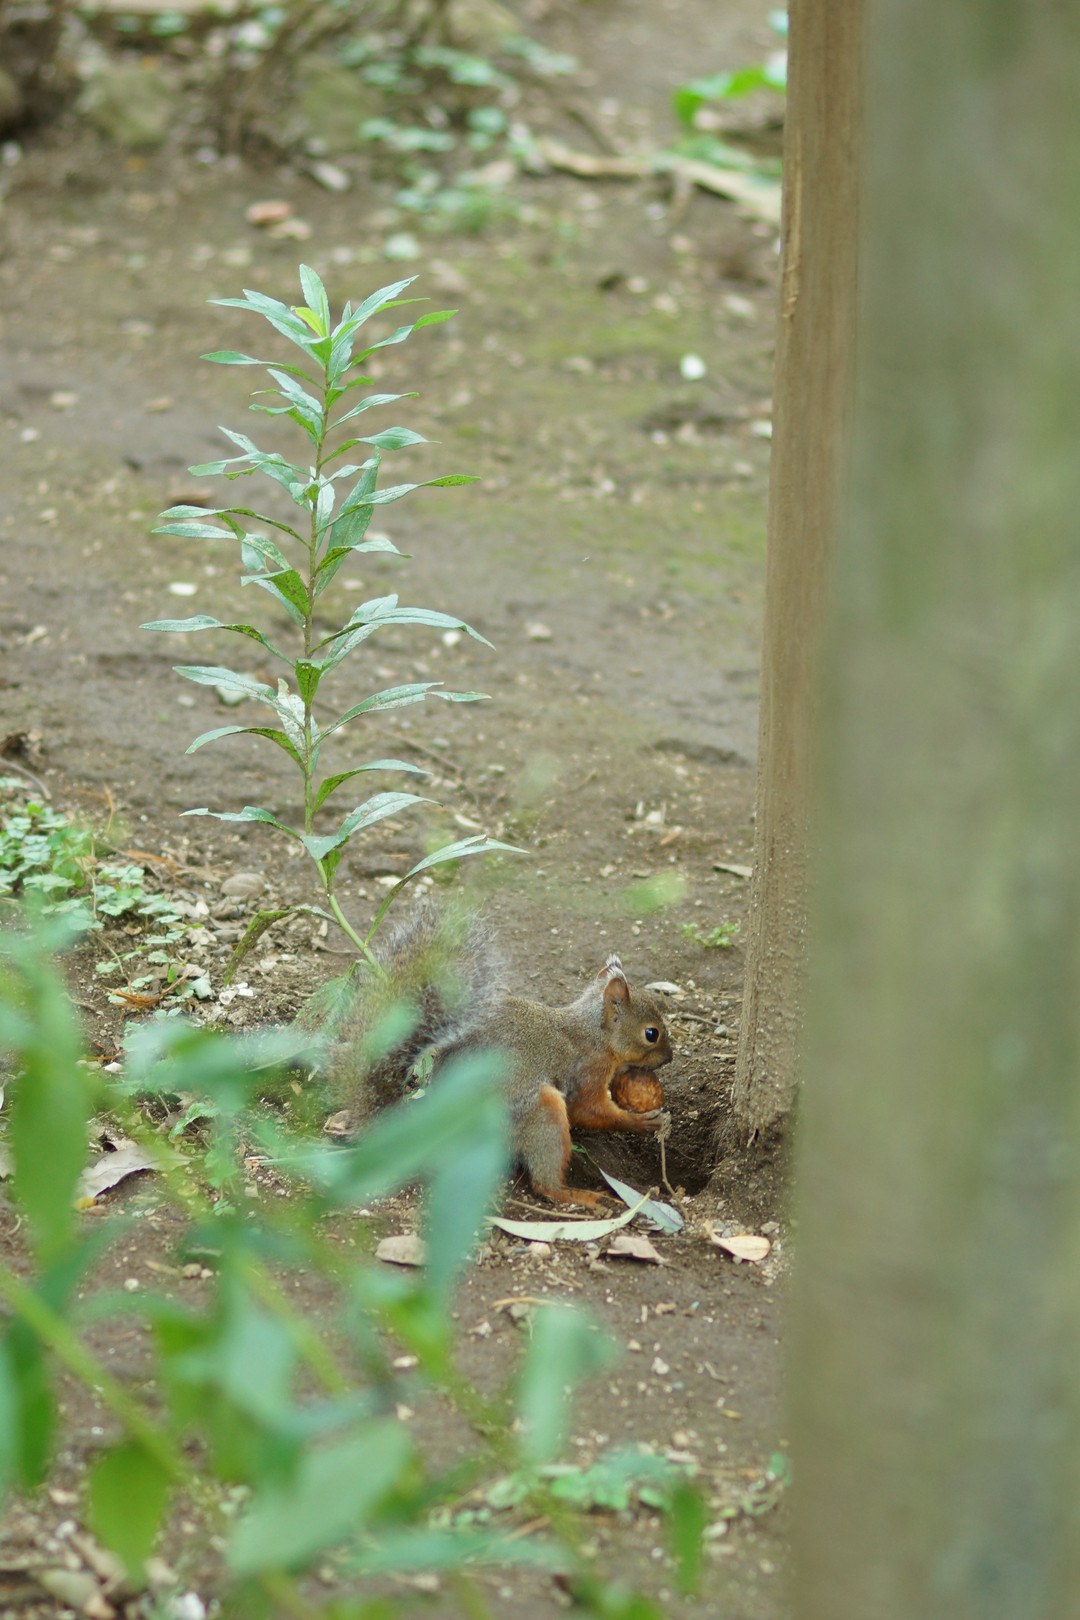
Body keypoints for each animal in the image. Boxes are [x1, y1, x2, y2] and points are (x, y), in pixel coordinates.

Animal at [335, 901, 673, 1209]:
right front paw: (643, 1122)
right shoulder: (586, 1071)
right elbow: (587, 1110)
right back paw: (580, 1196)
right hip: (537, 1111)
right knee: (544, 1183)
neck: (595, 1034)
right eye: (651, 1033)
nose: (669, 1059)